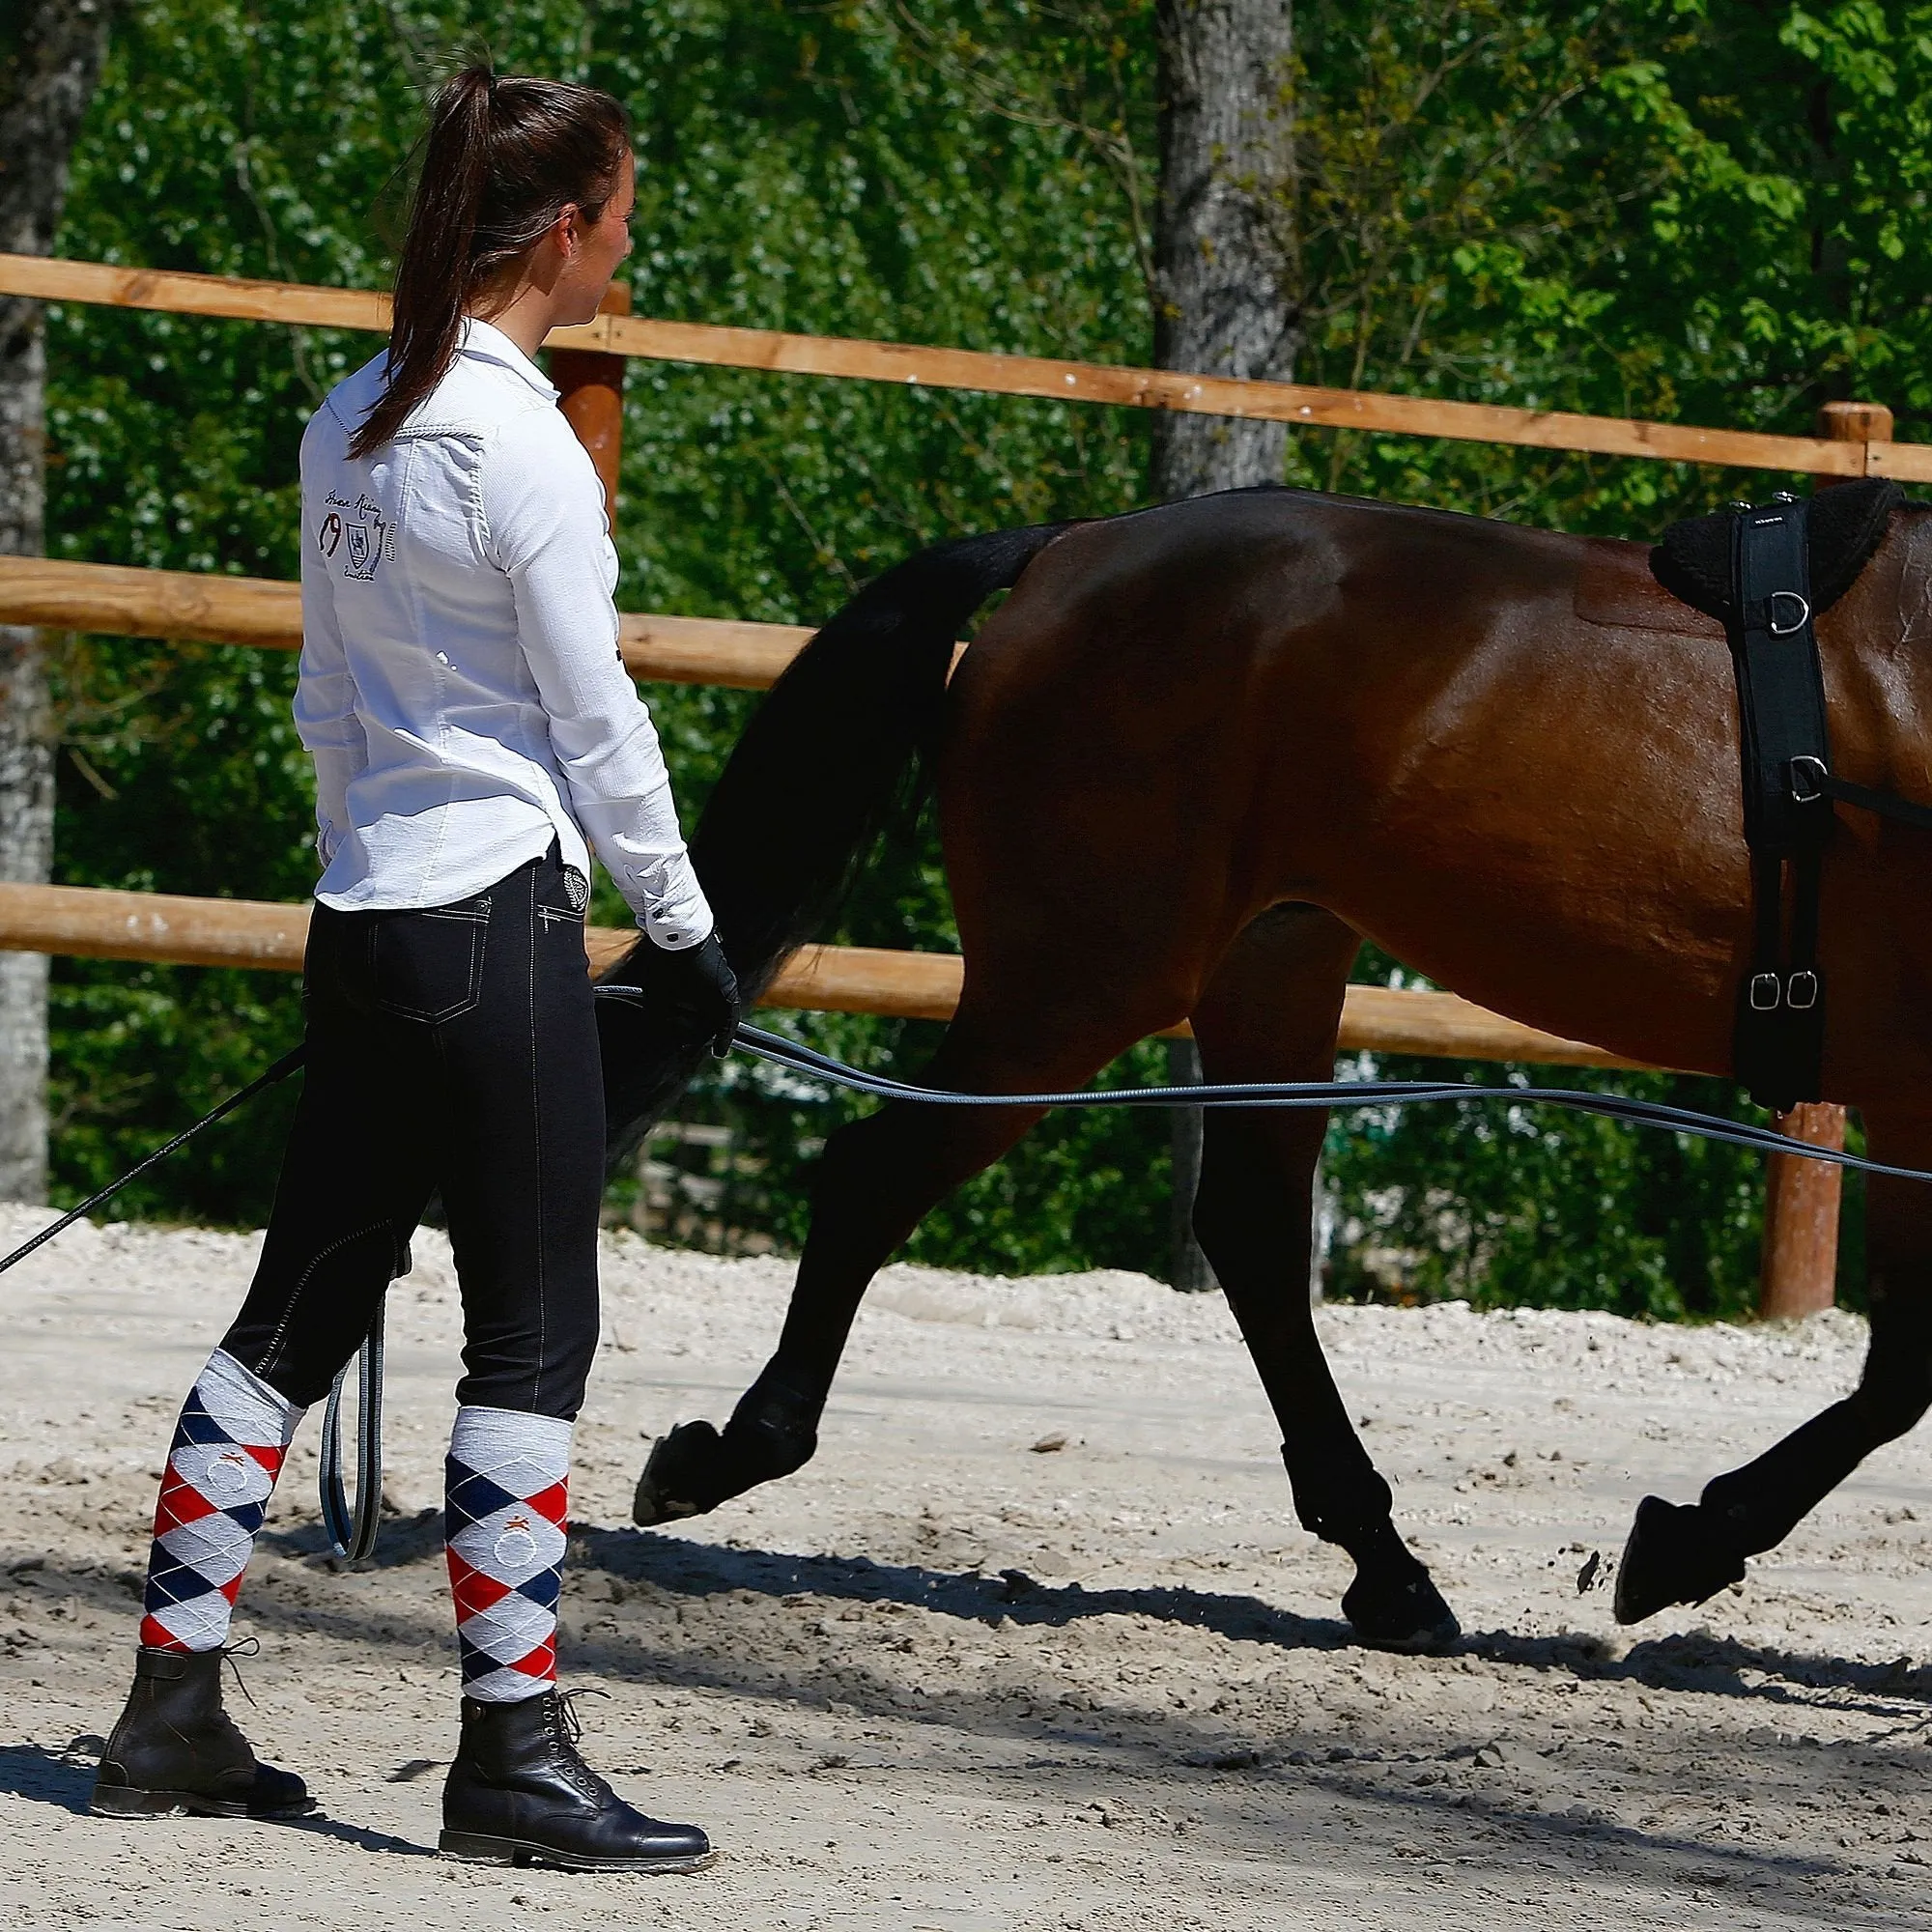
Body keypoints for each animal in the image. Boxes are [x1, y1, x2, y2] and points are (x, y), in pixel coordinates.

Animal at [599, 483, 1932, 1646]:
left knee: (1247, 1230)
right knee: (876, 1174)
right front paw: (1685, 1542)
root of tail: (1072, 550)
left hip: (1269, 960)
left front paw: (1687, 1540)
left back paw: (1386, 1570)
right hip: (1078, 981)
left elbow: (1898, 1368)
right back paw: (729, 1451)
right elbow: (1901, 1368)